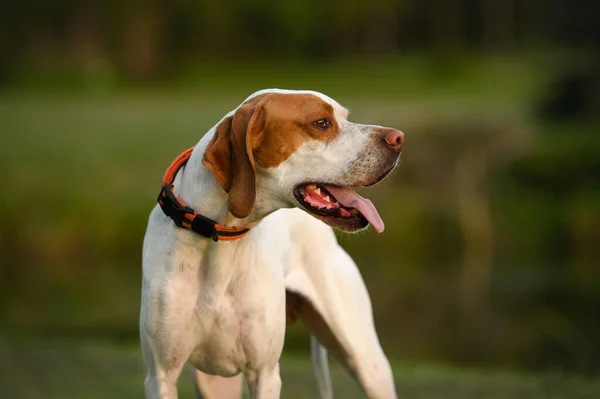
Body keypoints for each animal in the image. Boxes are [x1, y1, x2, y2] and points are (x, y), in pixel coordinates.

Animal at [140, 89, 404, 398]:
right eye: (321, 122)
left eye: (345, 117)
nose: (398, 138)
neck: (216, 242)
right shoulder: (161, 376)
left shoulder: (264, 374)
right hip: (214, 381)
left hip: (367, 361)